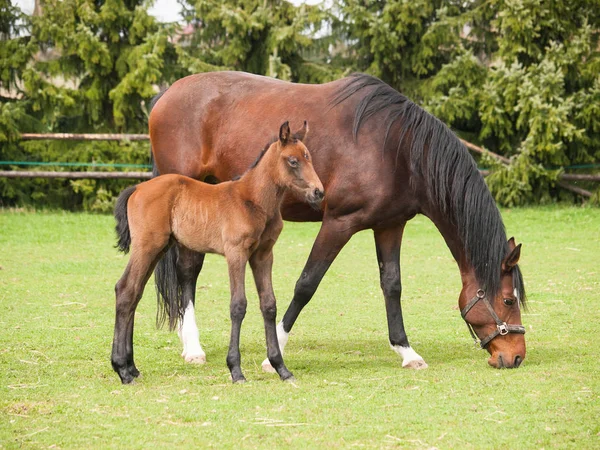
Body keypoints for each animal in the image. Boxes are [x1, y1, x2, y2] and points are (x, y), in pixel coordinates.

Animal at [109, 120, 322, 384]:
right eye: (293, 161)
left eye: (308, 157)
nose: (318, 192)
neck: (253, 200)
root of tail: (137, 188)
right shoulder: (236, 253)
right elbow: (238, 305)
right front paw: (236, 370)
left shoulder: (263, 255)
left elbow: (269, 304)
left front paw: (281, 368)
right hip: (147, 246)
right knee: (126, 289)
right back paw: (122, 369)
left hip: (158, 248)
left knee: (134, 292)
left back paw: (131, 367)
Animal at [151, 72, 528, 370]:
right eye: (509, 301)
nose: (516, 356)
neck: (398, 147)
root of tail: (164, 96)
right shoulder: (338, 223)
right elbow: (307, 284)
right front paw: (274, 355)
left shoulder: (390, 225)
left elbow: (392, 285)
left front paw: (406, 351)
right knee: (187, 269)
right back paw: (193, 347)